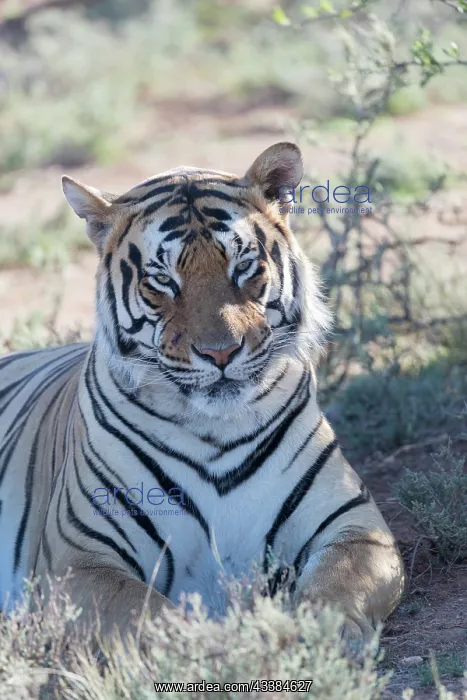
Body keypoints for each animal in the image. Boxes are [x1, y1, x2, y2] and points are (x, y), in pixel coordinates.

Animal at [0, 143, 404, 640]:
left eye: (243, 267)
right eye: (162, 281)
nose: (221, 352)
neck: (217, 431)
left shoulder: (354, 524)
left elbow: (335, 584)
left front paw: (316, 637)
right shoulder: (77, 560)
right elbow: (148, 615)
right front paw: (211, 644)